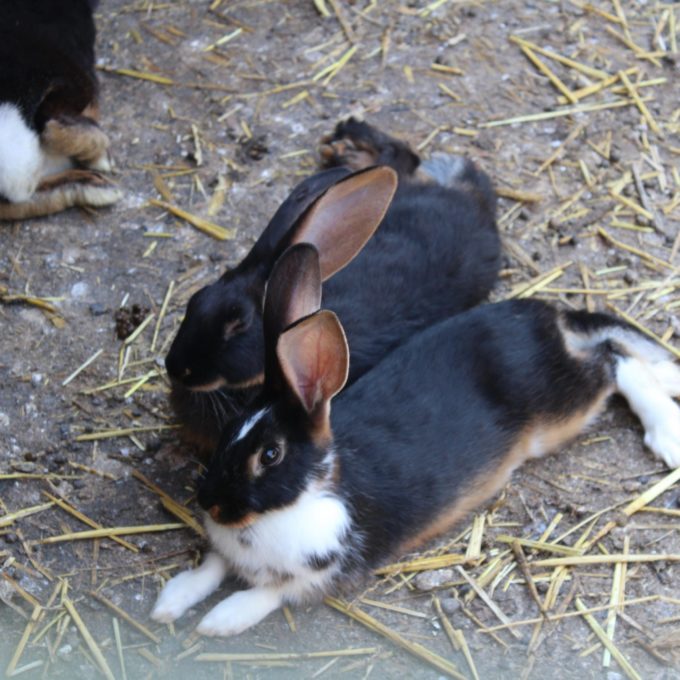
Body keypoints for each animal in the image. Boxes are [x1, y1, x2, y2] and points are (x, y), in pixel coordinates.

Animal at [150, 242, 680, 636]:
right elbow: (211, 566)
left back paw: (667, 432)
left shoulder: (319, 574)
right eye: (227, 434)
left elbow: (266, 593)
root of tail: (550, 318)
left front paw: (218, 622)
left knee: (613, 358)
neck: (295, 503)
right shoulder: (227, 552)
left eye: (271, 454)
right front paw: (168, 603)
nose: (210, 503)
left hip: (561, 411)